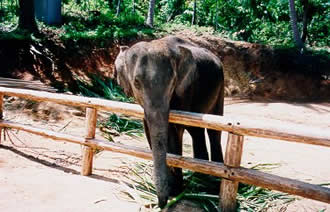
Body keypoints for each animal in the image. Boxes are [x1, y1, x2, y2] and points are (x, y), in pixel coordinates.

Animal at [113, 35, 224, 208]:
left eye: (172, 82)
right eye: (136, 83)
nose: (161, 204)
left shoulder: (185, 89)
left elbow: (175, 131)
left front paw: (176, 191)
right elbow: (149, 129)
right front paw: (173, 190)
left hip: (221, 85)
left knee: (213, 130)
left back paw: (211, 183)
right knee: (196, 131)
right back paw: (200, 179)